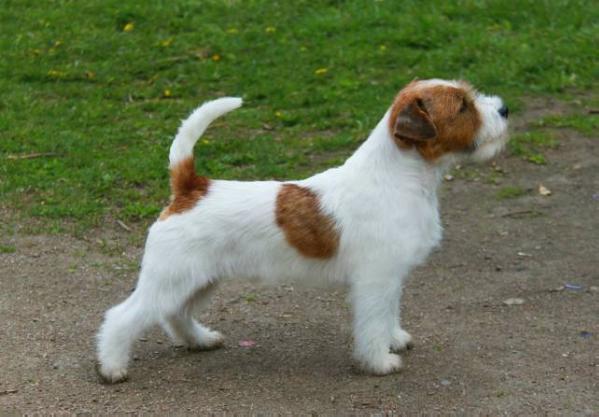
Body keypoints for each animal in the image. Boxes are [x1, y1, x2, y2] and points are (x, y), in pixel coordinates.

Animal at [96, 79, 508, 382]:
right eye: (462, 107)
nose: (504, 109)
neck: (399, 176)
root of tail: (190, 187)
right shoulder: (375, 280)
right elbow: (373, 323)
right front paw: (379, 361)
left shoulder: (390, 279)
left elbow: (389, 314)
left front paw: (395, 340)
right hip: (172, 278)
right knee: (122, 316)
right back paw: (112, 367)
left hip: (198, 279)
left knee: (176, 314)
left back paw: (201, 340)